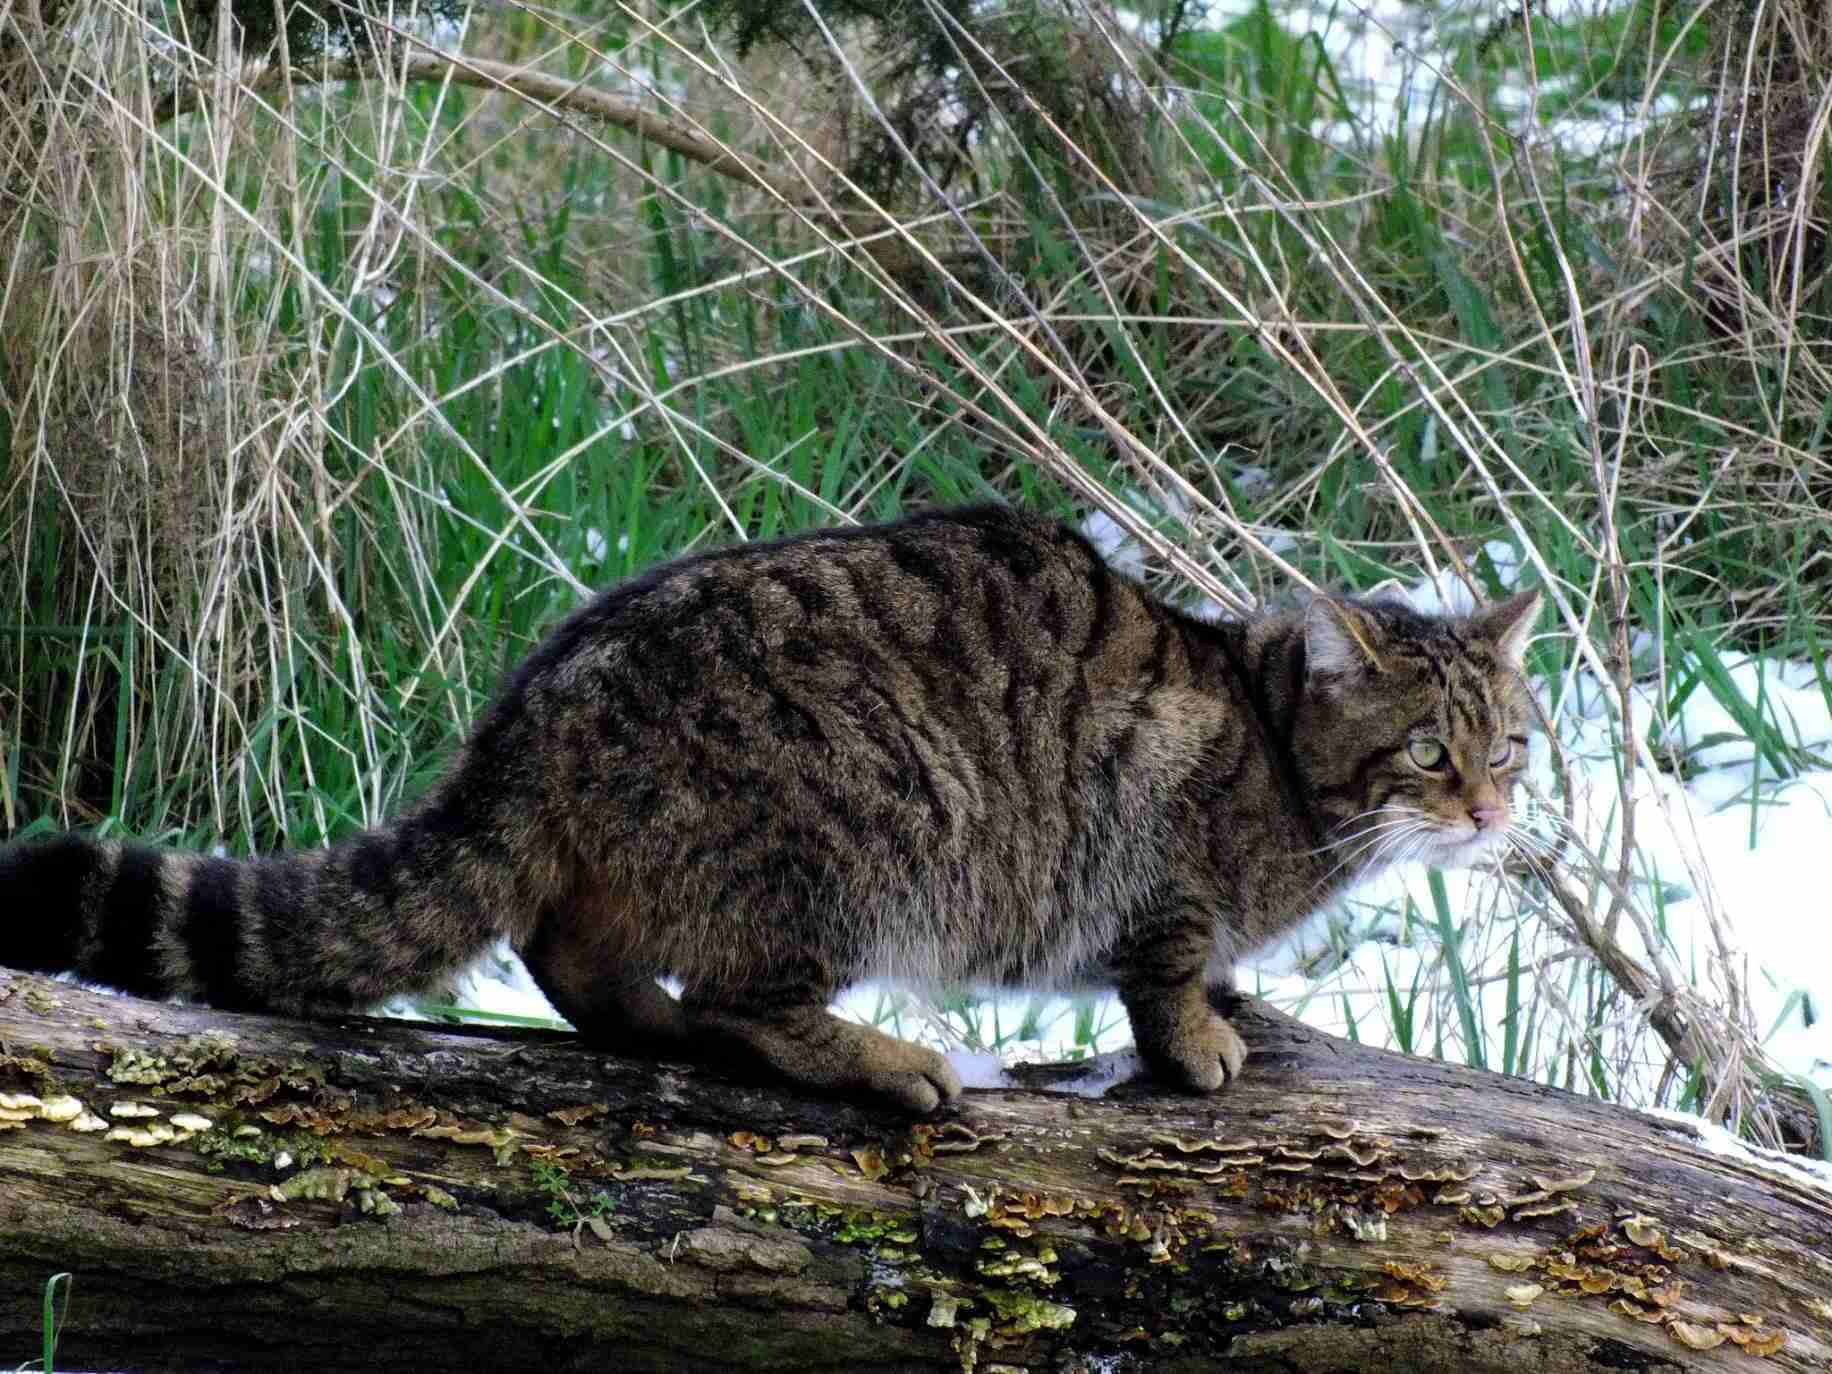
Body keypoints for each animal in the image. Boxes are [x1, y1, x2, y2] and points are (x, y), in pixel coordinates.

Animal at [0, 512, 1538, 1113]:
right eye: (1426, 753)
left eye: (1512, 749)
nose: (1485, 813)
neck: (1276, 749)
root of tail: (539, 703)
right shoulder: (1152, 858)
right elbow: (1162, 965)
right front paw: (1201, 1031)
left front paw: (1235, 1000)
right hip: (865, 832)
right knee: (742, 1000)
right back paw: (878, 1057)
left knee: (572, 954)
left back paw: (647, 1019)